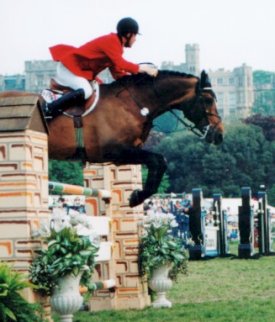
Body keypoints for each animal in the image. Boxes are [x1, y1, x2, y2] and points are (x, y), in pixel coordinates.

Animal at [0, 69, 224, 208]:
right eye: (208, 99)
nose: (219, 134)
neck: (134, 104)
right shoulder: (115, 150)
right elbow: (159, 160)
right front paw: (136, 197)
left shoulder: (120, 155)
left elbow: (159, 162)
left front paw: (136, 195)